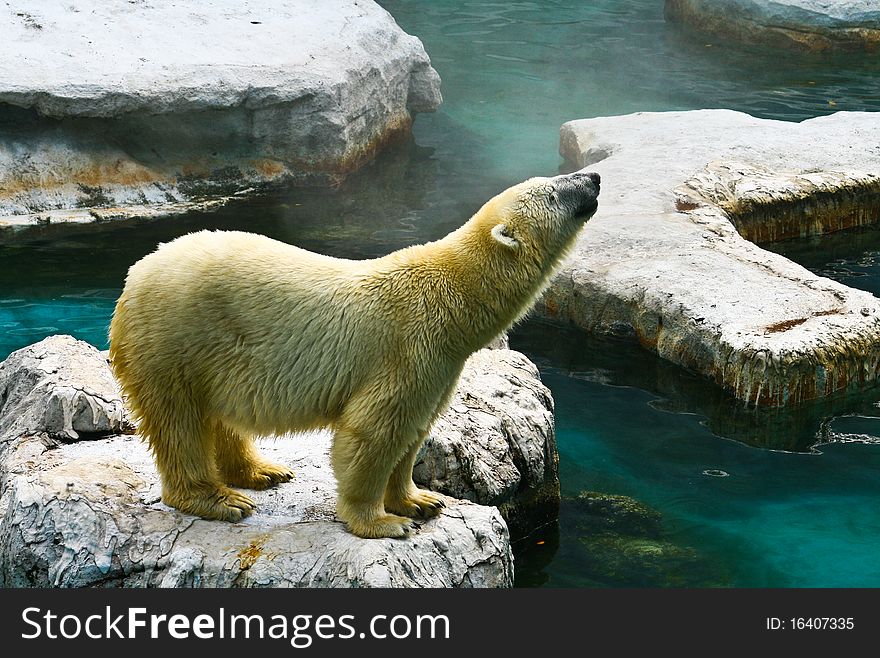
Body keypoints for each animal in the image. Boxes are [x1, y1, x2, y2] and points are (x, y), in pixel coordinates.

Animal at [108, 172, 600, 536]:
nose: (594, 177)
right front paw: (383, 522)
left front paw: (421, 500)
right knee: (180, 421)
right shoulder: (408, 347)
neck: (454, 295)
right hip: (174, 339)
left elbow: (415, 431)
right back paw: (217, 498)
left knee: (218, 415)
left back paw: (261, 472)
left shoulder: (441, 365)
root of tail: (135, 273)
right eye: (554, 189)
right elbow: (373, 432)